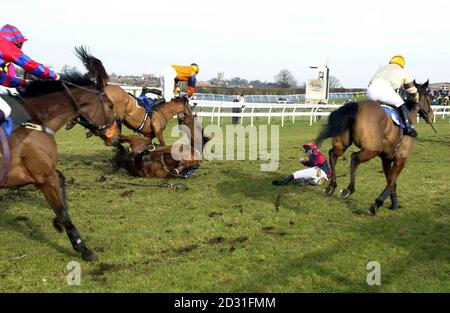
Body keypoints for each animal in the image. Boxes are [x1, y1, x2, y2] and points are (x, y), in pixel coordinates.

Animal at [0, 47, 119, 260]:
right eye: (111, 106)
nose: (116, 137)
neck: (36, 121)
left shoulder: (34, 174)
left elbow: (62, 185)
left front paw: (58, 222)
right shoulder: (43, 176)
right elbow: (62, 211)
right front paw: (82, 247)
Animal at [314, 80, 434, 214]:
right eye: (429, 98)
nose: (431, 116)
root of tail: (354, 106)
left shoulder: (386, 159)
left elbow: (390, 181)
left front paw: (394, 204)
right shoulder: (400, 159)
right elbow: (391, 183)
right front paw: (377, 203)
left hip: (342, 144)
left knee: (333, 154)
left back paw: (331, 186)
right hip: (372, 150)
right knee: (354, 157)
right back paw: (349, 189)